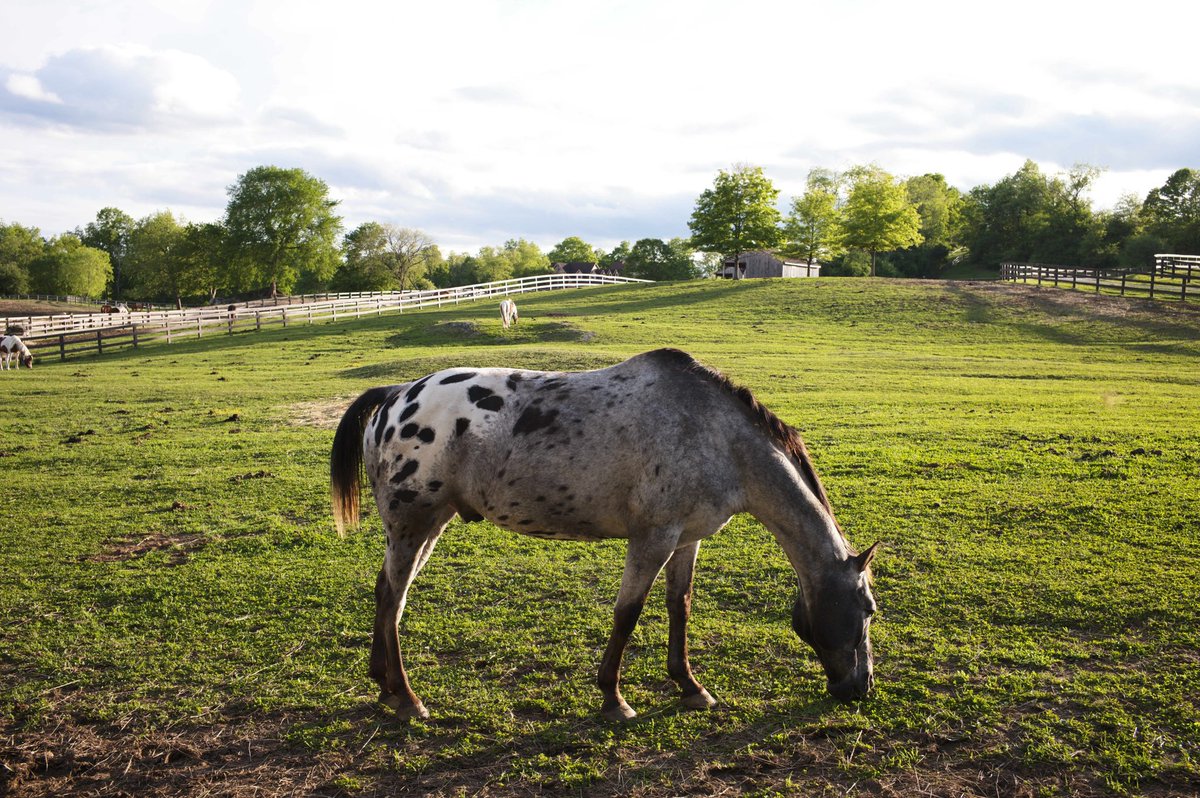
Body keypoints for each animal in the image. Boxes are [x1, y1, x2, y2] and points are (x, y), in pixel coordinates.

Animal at [333, 345, 878, 720]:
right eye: (869, 609)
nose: (861, 688)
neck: (716, 435)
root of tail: (394, 396)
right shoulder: (653, 538)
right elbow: (628, 614)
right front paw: (614, 698)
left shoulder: (688, 538)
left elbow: (678, 606)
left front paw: (690, 687)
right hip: (413, 525)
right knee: (392, 598)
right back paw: (407, 698)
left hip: (430, 525)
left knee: (387, 593)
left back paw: (384, 685)